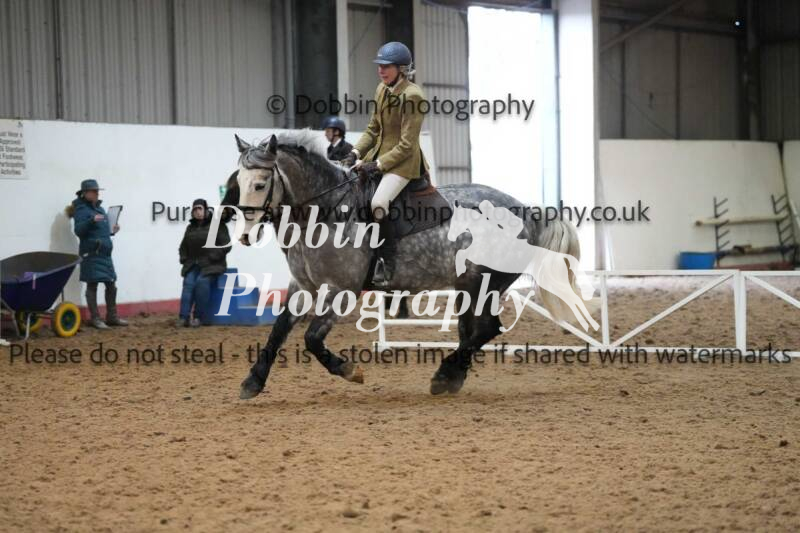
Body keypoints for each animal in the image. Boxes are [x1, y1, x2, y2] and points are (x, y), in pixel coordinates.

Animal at [227, 129, 589, 399]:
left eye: (259, 184)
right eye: (238, 183)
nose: (244, 235)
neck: (325, 211)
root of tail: (527, 211)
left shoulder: (341, 290)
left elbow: (312, 338)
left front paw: (349, 370)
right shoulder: (303, 287)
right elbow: (279, 329)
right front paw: (253, 381)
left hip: (485, 283)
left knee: (486, 328)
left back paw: (444, 375)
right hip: (468, 286)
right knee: (471, 330)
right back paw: (452, 377)